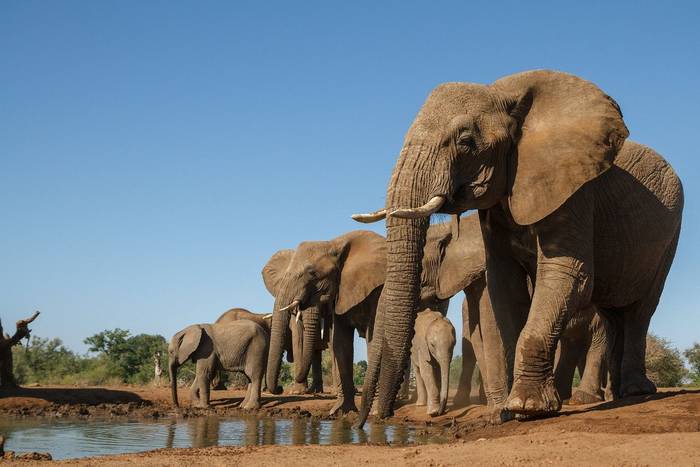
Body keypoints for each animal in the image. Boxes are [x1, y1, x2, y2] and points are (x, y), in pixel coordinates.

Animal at [263, 230, 386, 415]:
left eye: (312, 273)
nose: (279, 388)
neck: (333, 244)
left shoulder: (376, 289)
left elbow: (373, 340)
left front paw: (375, 412)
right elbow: (339, 342)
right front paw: (340, 411)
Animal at [353, 69, 683, 424]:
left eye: (465, 141)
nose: (368, 421)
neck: (504, 94)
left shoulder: (573, 190)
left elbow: (569, 275)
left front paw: (528, 407)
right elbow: (505, 286)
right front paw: (504, 414)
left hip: (670, 233)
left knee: (640, 308)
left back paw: (631, 392)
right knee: (611, 314)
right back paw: (618, 394)